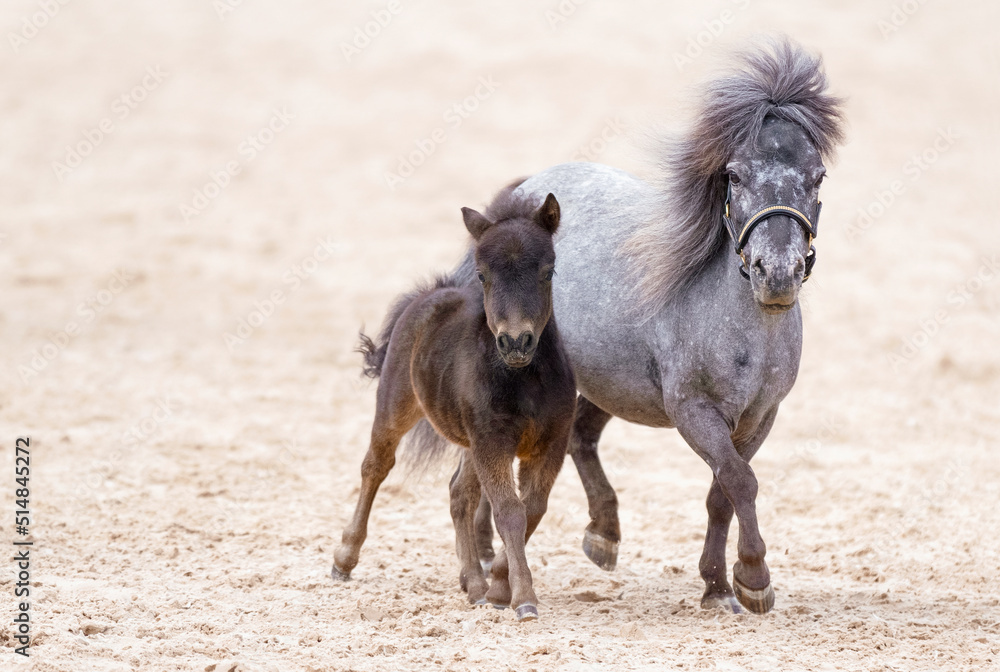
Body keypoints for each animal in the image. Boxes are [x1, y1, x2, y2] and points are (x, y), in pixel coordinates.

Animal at [331, 186, 577, 622]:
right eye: (483, 275)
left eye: (548, 271)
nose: (516, 342)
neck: (526, 378)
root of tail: (432, 293)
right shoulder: (492, 441)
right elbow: (510, 511)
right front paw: (522, 597)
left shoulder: (550, 441)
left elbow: (532, 508)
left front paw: (499, 585)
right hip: (397, 404)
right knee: (376, 465)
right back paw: (344, 559)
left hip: (469, 439)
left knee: (459, 492)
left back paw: (474, 584)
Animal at [465, 38, 845, 614]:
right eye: (735, 175)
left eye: (817, 177)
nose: (777, 274)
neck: (745, 332)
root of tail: (522, 193)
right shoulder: (693, 412)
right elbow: (740, 481)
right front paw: (754, 578)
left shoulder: (759, 417)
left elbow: (721, 493)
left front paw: (718, 587)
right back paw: (490, 565)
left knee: (579, 440)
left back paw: (598, 536)